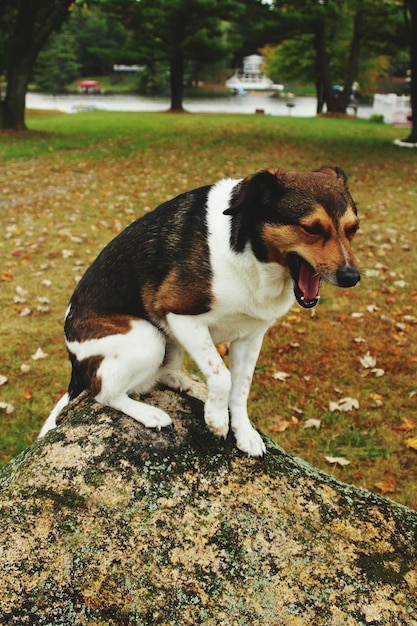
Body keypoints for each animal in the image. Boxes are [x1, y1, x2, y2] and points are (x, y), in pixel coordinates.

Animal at [37, 166, 360, 456]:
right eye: (311, 229)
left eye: (353, 229)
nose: (351, 277)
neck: (249, 251)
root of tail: (75, 365)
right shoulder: (180, 316)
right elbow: (222, 376)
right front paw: (216, 419)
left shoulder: (250, 336)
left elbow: (241, 388)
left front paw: (244, 432)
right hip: (148, 338)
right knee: (104, 392)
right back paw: (149, 414)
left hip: (169, 346)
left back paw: (175, 379)